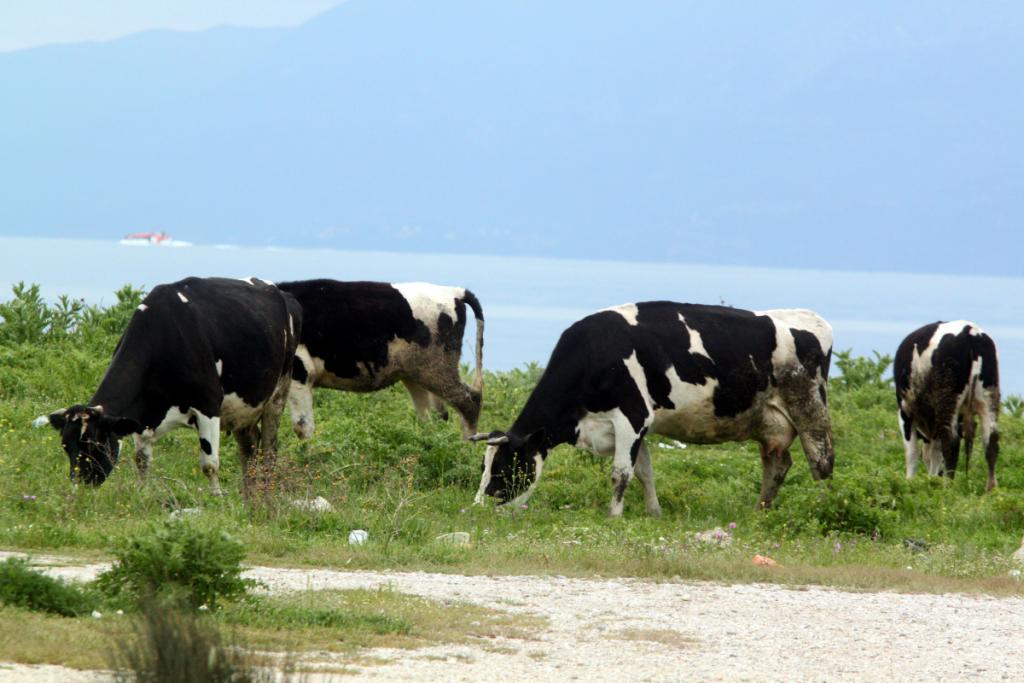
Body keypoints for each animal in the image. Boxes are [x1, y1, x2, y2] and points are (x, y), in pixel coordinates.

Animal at [44, 278, 299, 497]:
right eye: (66, 446)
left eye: (95, 444)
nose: (80, 487)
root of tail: (280, 292)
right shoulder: (142, 415)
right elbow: (142, 461)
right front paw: (142, 493)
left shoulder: (208, 405)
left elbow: (210, 463)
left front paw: (217, 497)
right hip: (242, 409)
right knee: (249, 449)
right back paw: (249, 492)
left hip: (278, 393)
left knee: (269, 449)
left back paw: (264, 491)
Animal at [276, 280, 483, 440]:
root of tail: (454, 291)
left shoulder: (300, 372)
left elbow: (302, 427)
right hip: (416, 375)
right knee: (433, 416)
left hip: (436, 369)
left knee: (469, 402)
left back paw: (465, 449)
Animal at [471, 301, 831, 516]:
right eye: (483, 466)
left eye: (505, 466)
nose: (477, 507)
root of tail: (812, 318)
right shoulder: (637, 424)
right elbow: (645, 471)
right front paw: (653, 512)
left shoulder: (631, 415)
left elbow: (621, 473)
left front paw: (613, 516)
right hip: (770, 423)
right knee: (778, 463)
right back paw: (760, 509)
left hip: (810, 407)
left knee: (821, 462)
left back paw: (823, 505)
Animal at [897, 321, 999, 491]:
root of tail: (969, 330)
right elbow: (934, 454)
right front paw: (931, 480)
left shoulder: (905, 413)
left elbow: (912, 452)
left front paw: (910, 482)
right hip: (988, 396)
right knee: (991, 441)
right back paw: (991, 490)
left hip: (947, 398)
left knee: (951, 443)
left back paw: (948, 487)